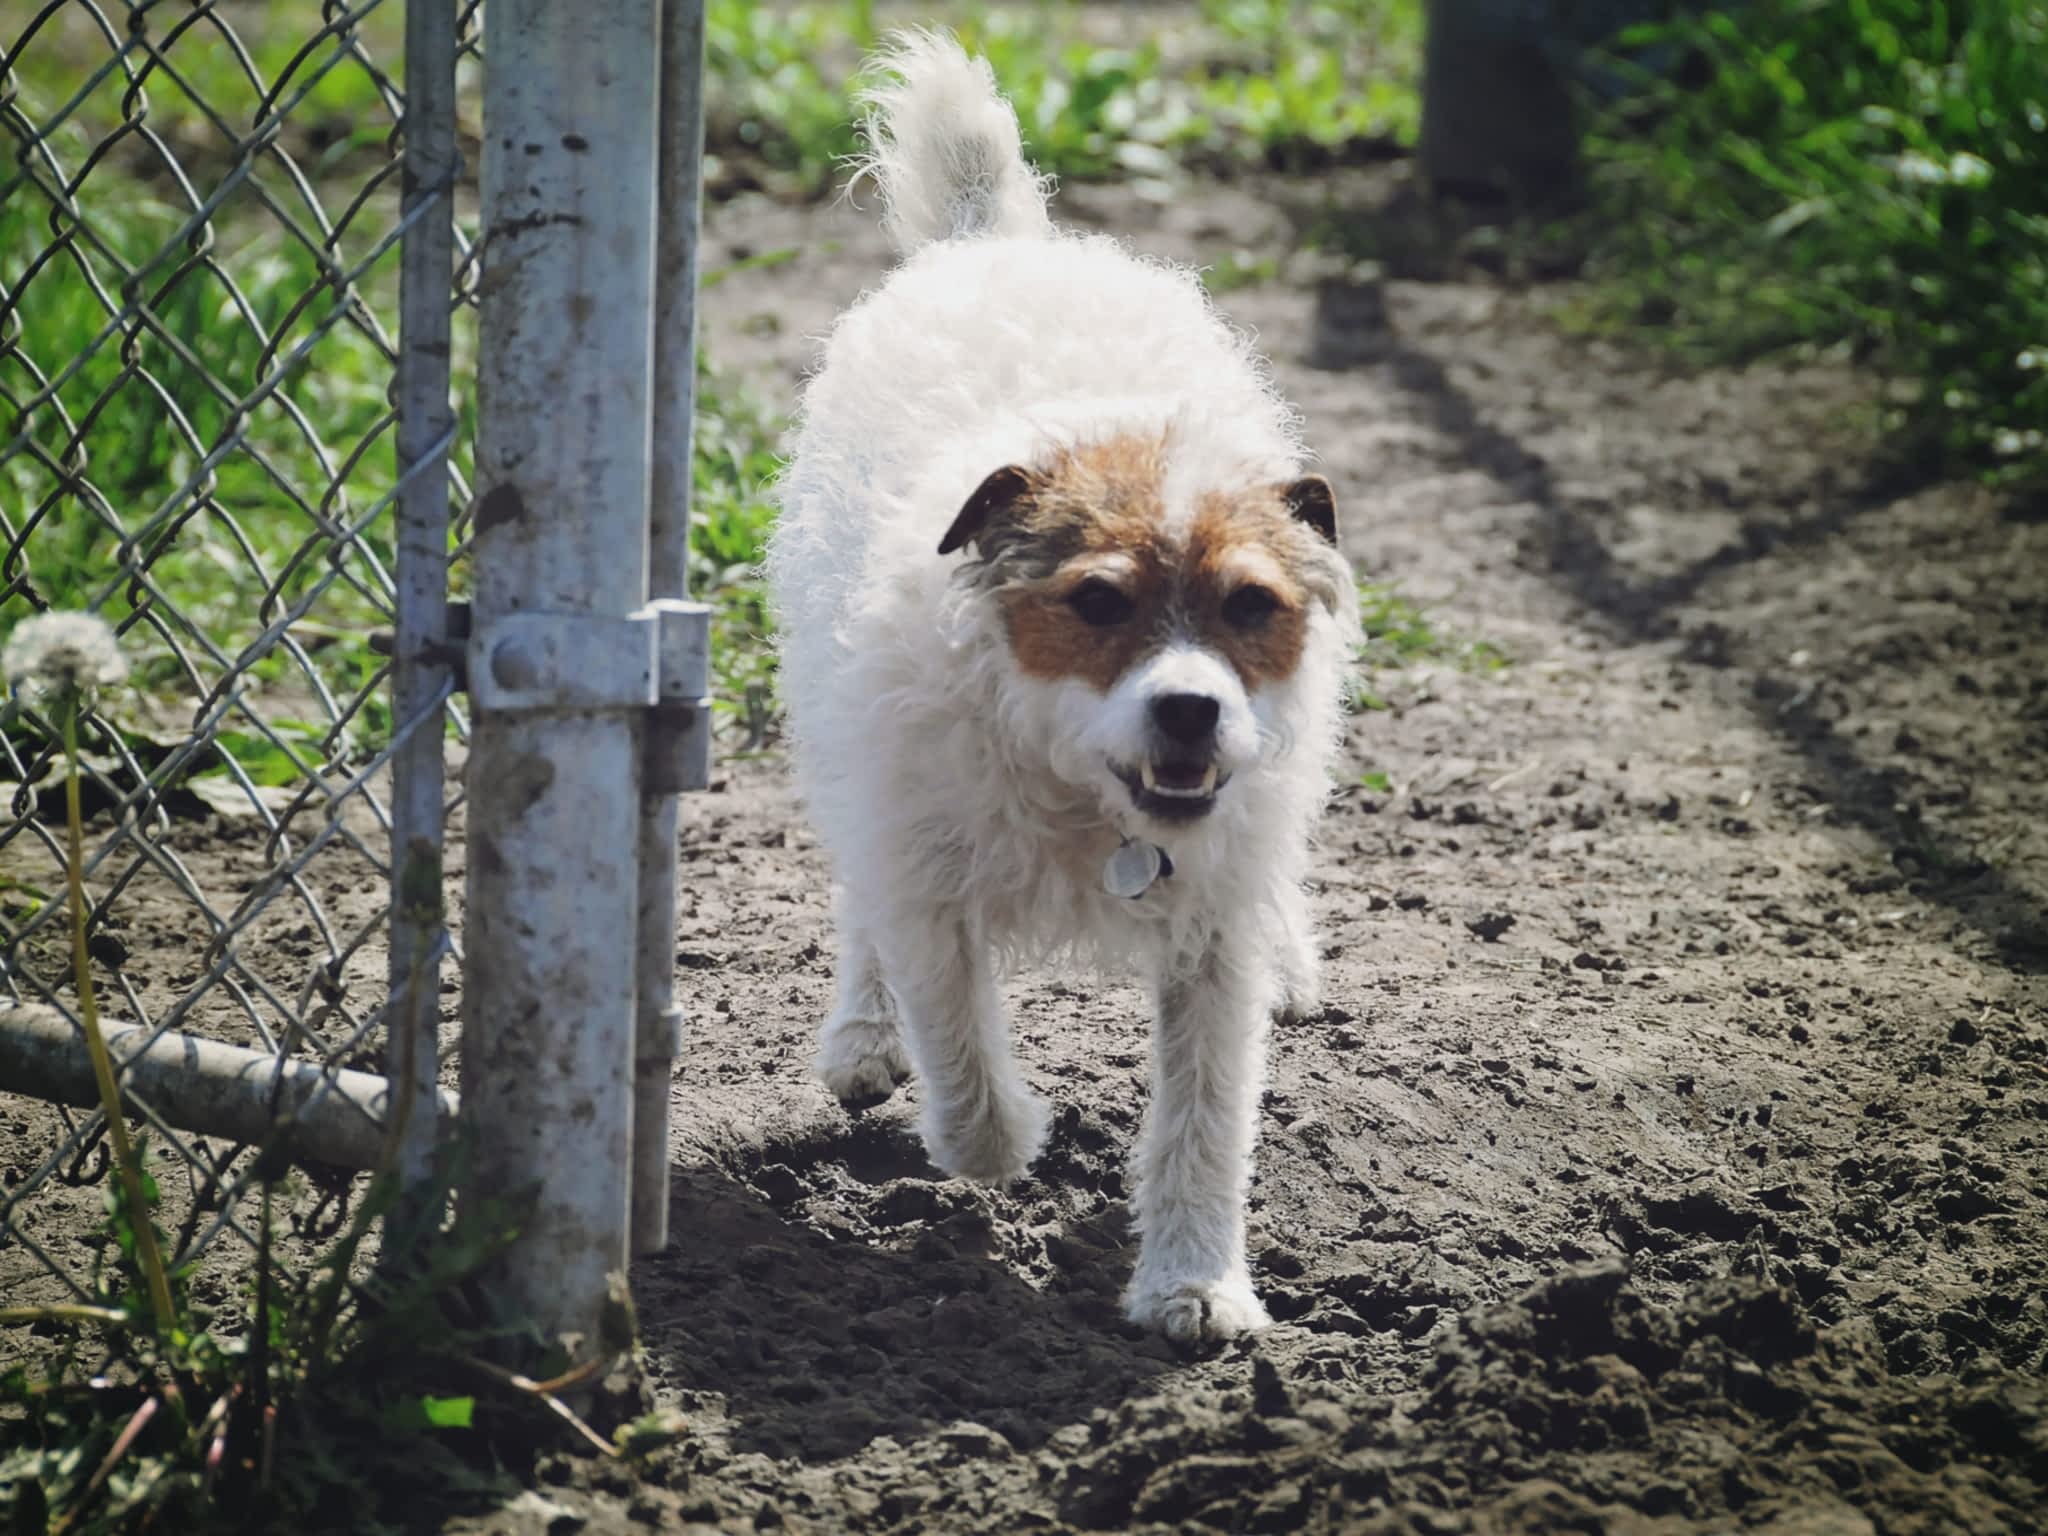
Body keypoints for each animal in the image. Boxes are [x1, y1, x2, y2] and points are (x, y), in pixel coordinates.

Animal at [770, 30, 1359, 1343]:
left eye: (1250, 606)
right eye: (1095, 603)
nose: (1190, 707)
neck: (1083, 793)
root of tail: (993, 242)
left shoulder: (1211, 941)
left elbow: (1204, 1121)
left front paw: (1193, 1281)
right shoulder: (928, 885)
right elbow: (961, 1067)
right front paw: (1004, 1139)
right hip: (843, 738)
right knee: (861, 906)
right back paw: (861, 1031)